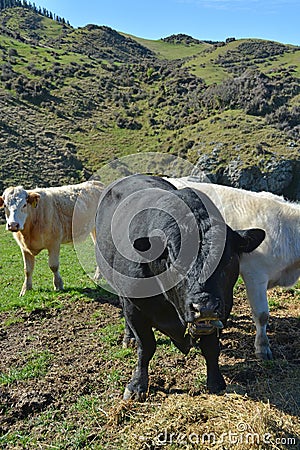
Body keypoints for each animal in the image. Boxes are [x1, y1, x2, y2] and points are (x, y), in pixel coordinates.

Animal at [94, 174, 264, 400]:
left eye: (227, 259)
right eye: (175, 261)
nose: (204, 307)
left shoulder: (224, 308)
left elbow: (211, 347)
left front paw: (216, 382)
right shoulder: (135, 307)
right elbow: (146, 346)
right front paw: (137, 385)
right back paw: (128, 337)